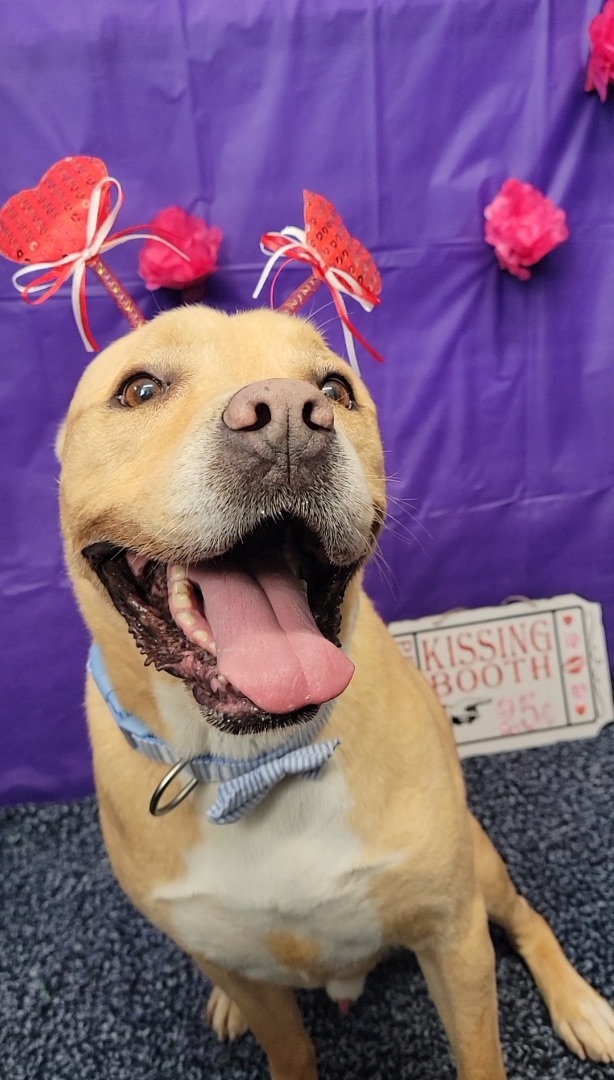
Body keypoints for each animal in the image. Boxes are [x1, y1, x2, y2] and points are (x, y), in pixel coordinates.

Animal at [57, 306, 612, 1080]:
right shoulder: (246, 976)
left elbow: (480, 1051)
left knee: (527, 918)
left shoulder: (454, 936)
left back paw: (582, 1006)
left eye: (333, 388)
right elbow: (287, 1046)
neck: (261, 759)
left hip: (482, 868)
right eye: (140, 389)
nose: (288, 418)